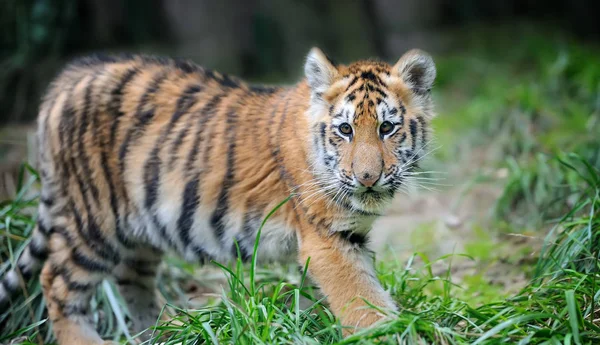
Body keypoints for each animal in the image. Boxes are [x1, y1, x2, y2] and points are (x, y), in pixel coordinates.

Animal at [0, 46, 434, 344]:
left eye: (387, 128)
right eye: (345, 130)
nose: (367, 178)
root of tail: (70, 76)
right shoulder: (328, 240)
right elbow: (364, 304)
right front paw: (392, 334)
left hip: (139, 226)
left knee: (131, 281)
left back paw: (166, 333)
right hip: (93, 219)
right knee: (56, 281)